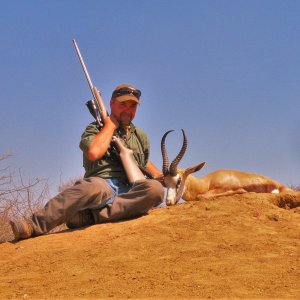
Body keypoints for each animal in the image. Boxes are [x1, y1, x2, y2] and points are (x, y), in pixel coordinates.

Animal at [161, 129, 294, 206]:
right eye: (165, 182)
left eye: (178, 180)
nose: (168, 202)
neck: (207, 182)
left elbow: (201, 196)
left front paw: (240, 191)